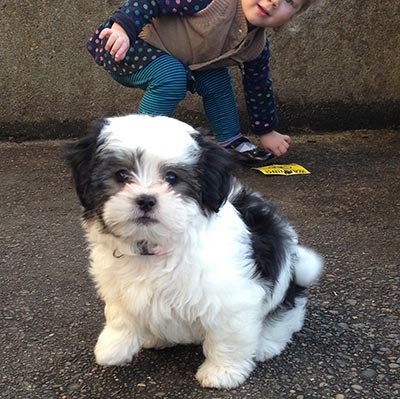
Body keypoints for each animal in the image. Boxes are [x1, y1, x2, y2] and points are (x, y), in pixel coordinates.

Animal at [65, 114, 322, 390]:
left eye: (172, 177)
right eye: (121, 174)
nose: (145, 200)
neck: (156, 246)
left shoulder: (233, 300)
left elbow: (227, 338)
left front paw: (222, 372)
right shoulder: (119, 287)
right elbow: (121, 314)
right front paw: (112, 347)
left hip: (284, 288)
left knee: (287, 316)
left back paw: (266, 344)